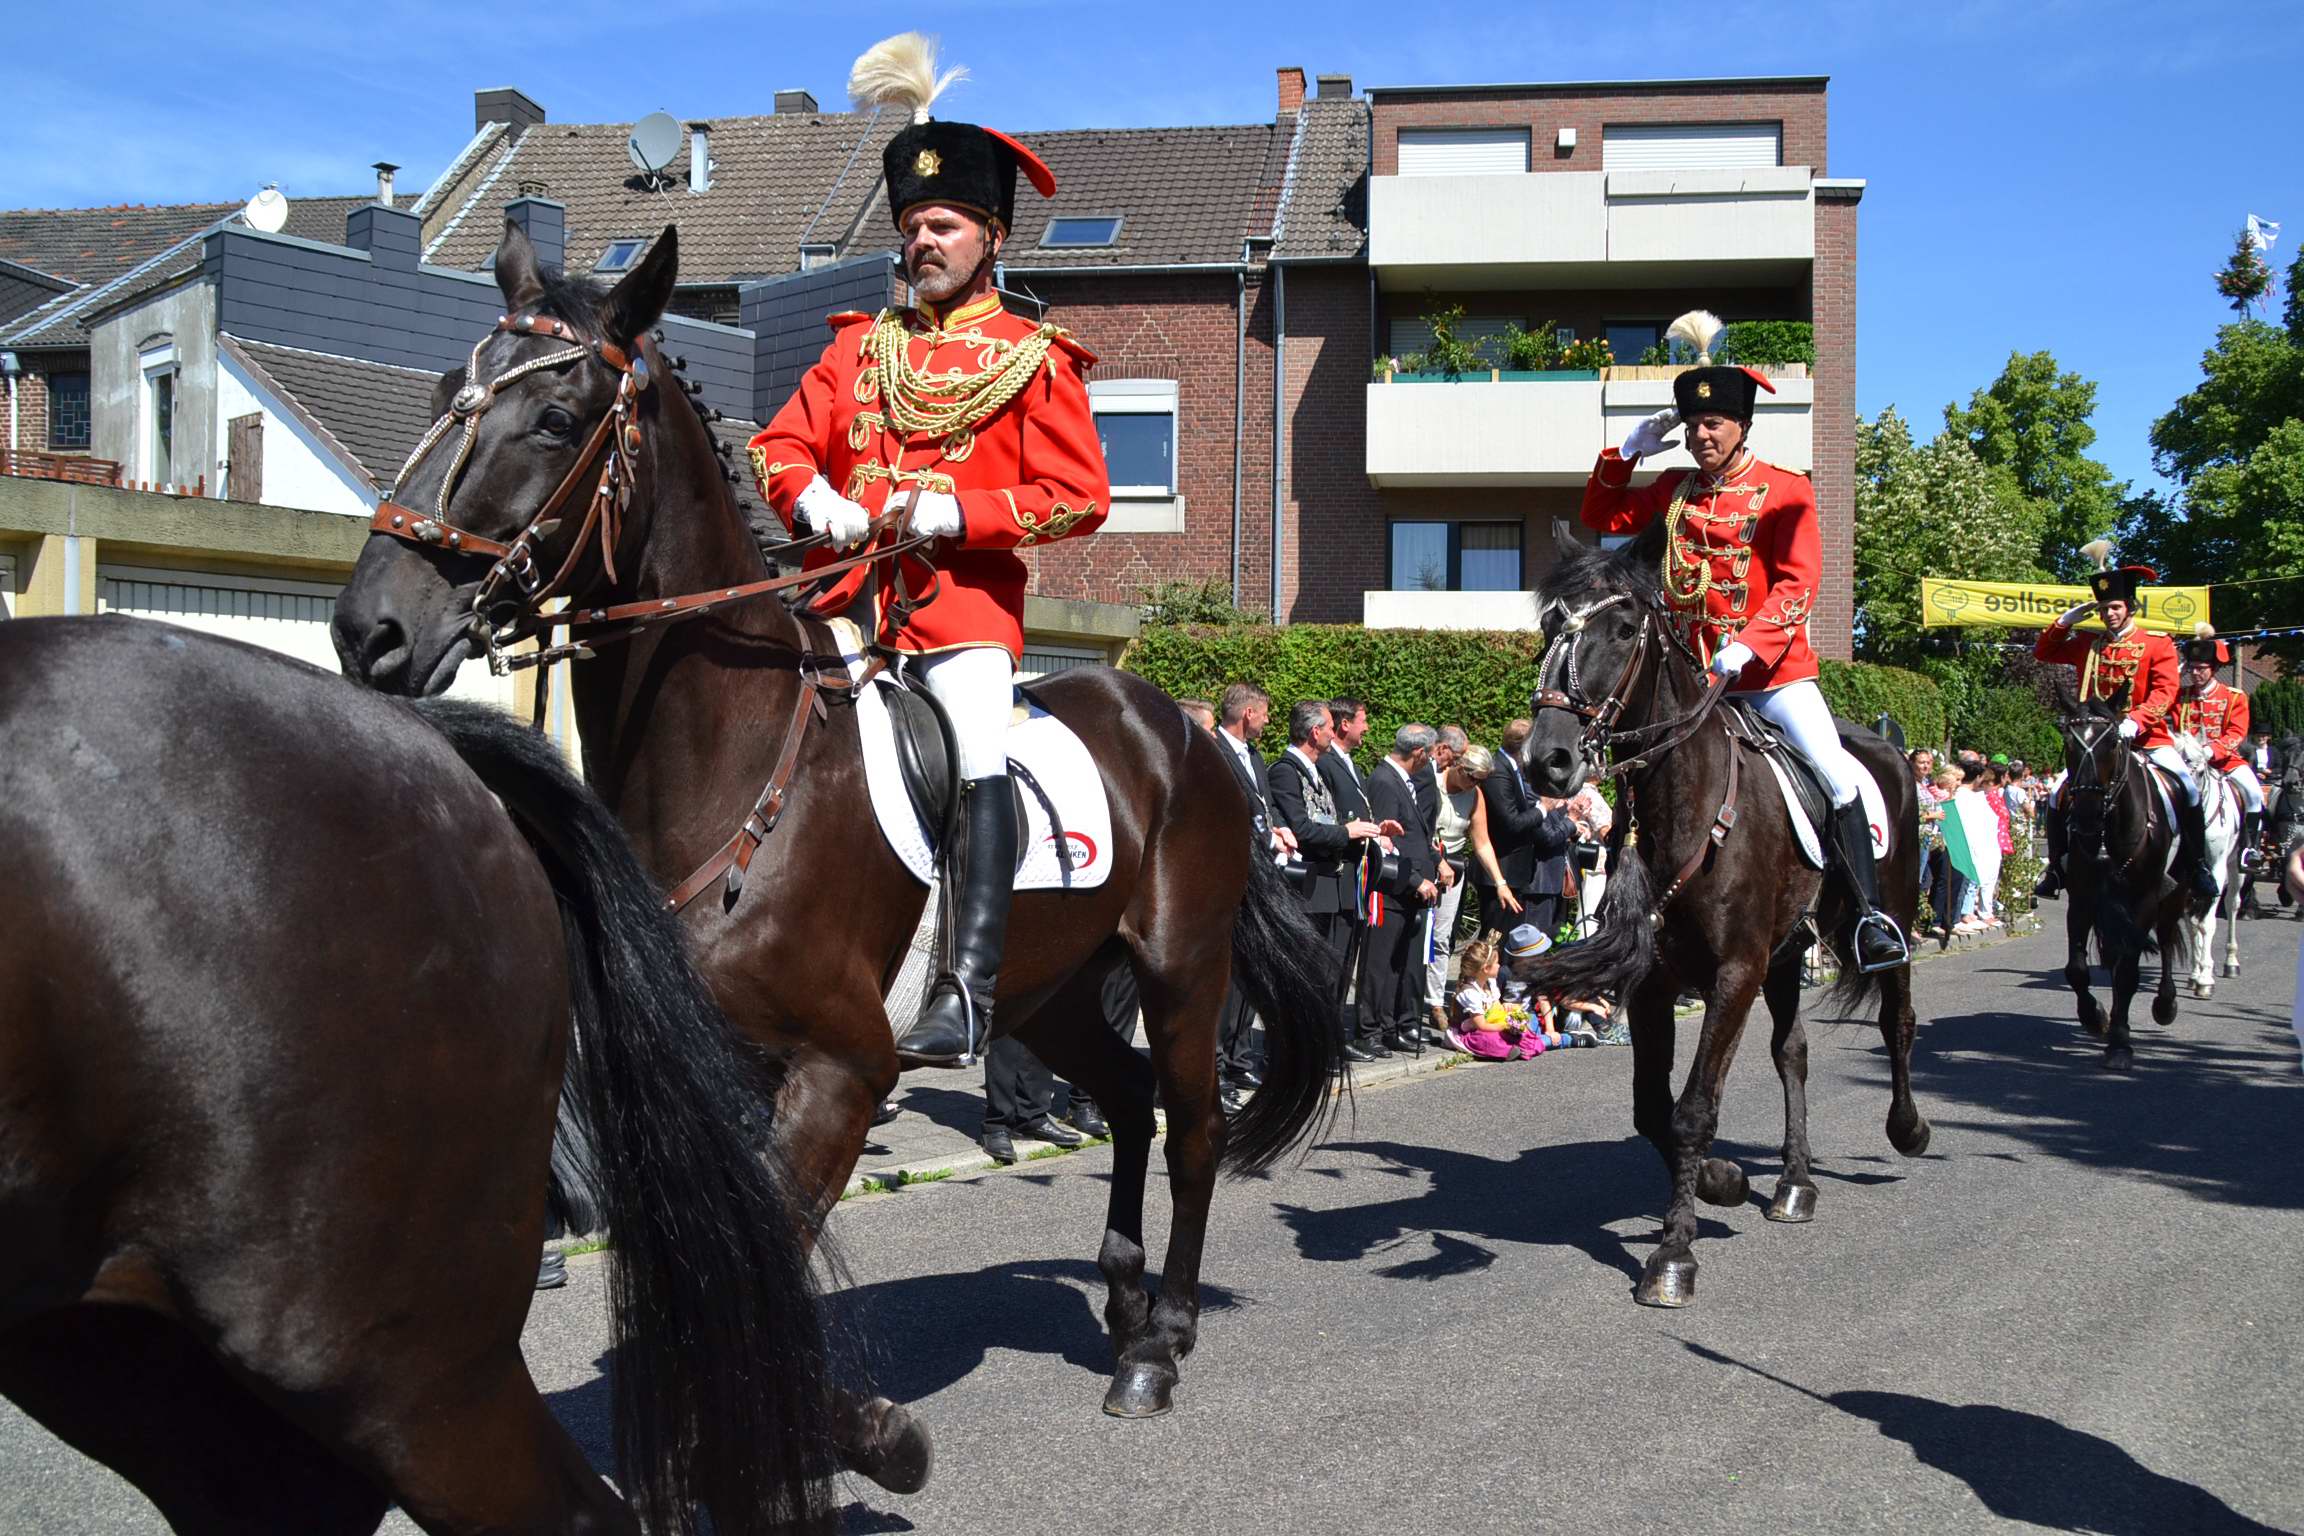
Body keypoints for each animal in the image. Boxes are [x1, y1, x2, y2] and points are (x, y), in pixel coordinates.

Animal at [330, 222, 1344, 1433]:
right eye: (448, 390)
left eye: (557, 420)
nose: (371, 631)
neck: (731, 776)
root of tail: (1185, 731)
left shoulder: (841, 1071)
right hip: (1053, 992)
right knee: (1131, 1103)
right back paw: (1122, 1302)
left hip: (1183, 969)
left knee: (1192, 1129)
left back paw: (1161, 1345)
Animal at [1505, 534, 1929, 1309]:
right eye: (1550, 626)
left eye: (1621, 629)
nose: (1547, 761)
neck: (1690, 807)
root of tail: (1888, 745)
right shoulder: (1655, 983)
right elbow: (1654, 1108)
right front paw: (1723, 1182)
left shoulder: (1735, 973)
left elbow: (1694, 1107)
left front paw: (1674, 1254)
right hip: (1787, 953)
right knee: (1792, 1051)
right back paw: (1793, 1183)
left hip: (1891, 921)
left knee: (1898, 1020)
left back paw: (1907, 1129)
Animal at [2050, 681, 2193, 1069]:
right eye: (2068, 742)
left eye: (2113, 742)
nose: (2085, 817)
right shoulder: (2082, 898)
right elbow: (2077, 969)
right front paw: (2095, 1017)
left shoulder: (2144, 898)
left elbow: (2128, 971)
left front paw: (2119, 1043)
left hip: (2174, 893)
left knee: (2166, 936)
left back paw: (2165, 1003)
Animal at [2171, 730, 2244, 996]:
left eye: (2201, 771)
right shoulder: (2185, 874)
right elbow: (2192, 924)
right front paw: (2196, 973)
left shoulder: (2216, 869)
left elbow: (2207, 922)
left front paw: (2205, 978)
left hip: (2236, 867)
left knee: (2232, 904)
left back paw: (2231, 962)